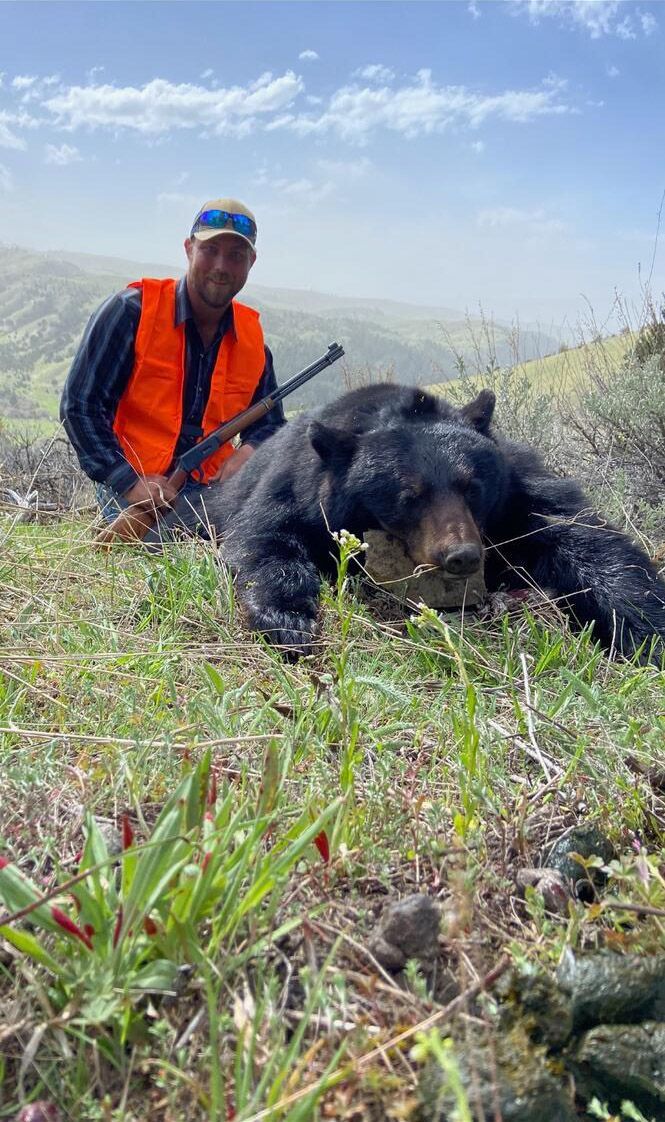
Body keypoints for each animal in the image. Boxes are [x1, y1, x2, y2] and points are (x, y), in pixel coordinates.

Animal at [185, 383, 665, 662]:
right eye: (408, 496)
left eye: (471, 487)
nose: (462, 555)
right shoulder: (296, 486)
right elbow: (264, 538)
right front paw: (288, 620)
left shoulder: (517, 489)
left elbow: (583, 535)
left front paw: (645, 632)